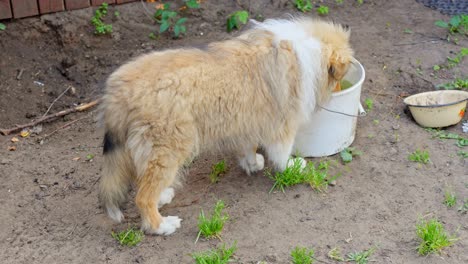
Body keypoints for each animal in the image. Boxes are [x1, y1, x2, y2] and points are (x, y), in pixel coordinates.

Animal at [99, 17, 354, 234]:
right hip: (168, 147)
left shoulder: (249, 120)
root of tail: (118, 91)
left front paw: (252, 164)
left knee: (143, 180)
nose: (340, 90)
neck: (308, 49)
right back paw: (161, 225)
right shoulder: (283, 123)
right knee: (143, 196)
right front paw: (292, 166)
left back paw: (163, 196)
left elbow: (249, 147)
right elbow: (281, 153)